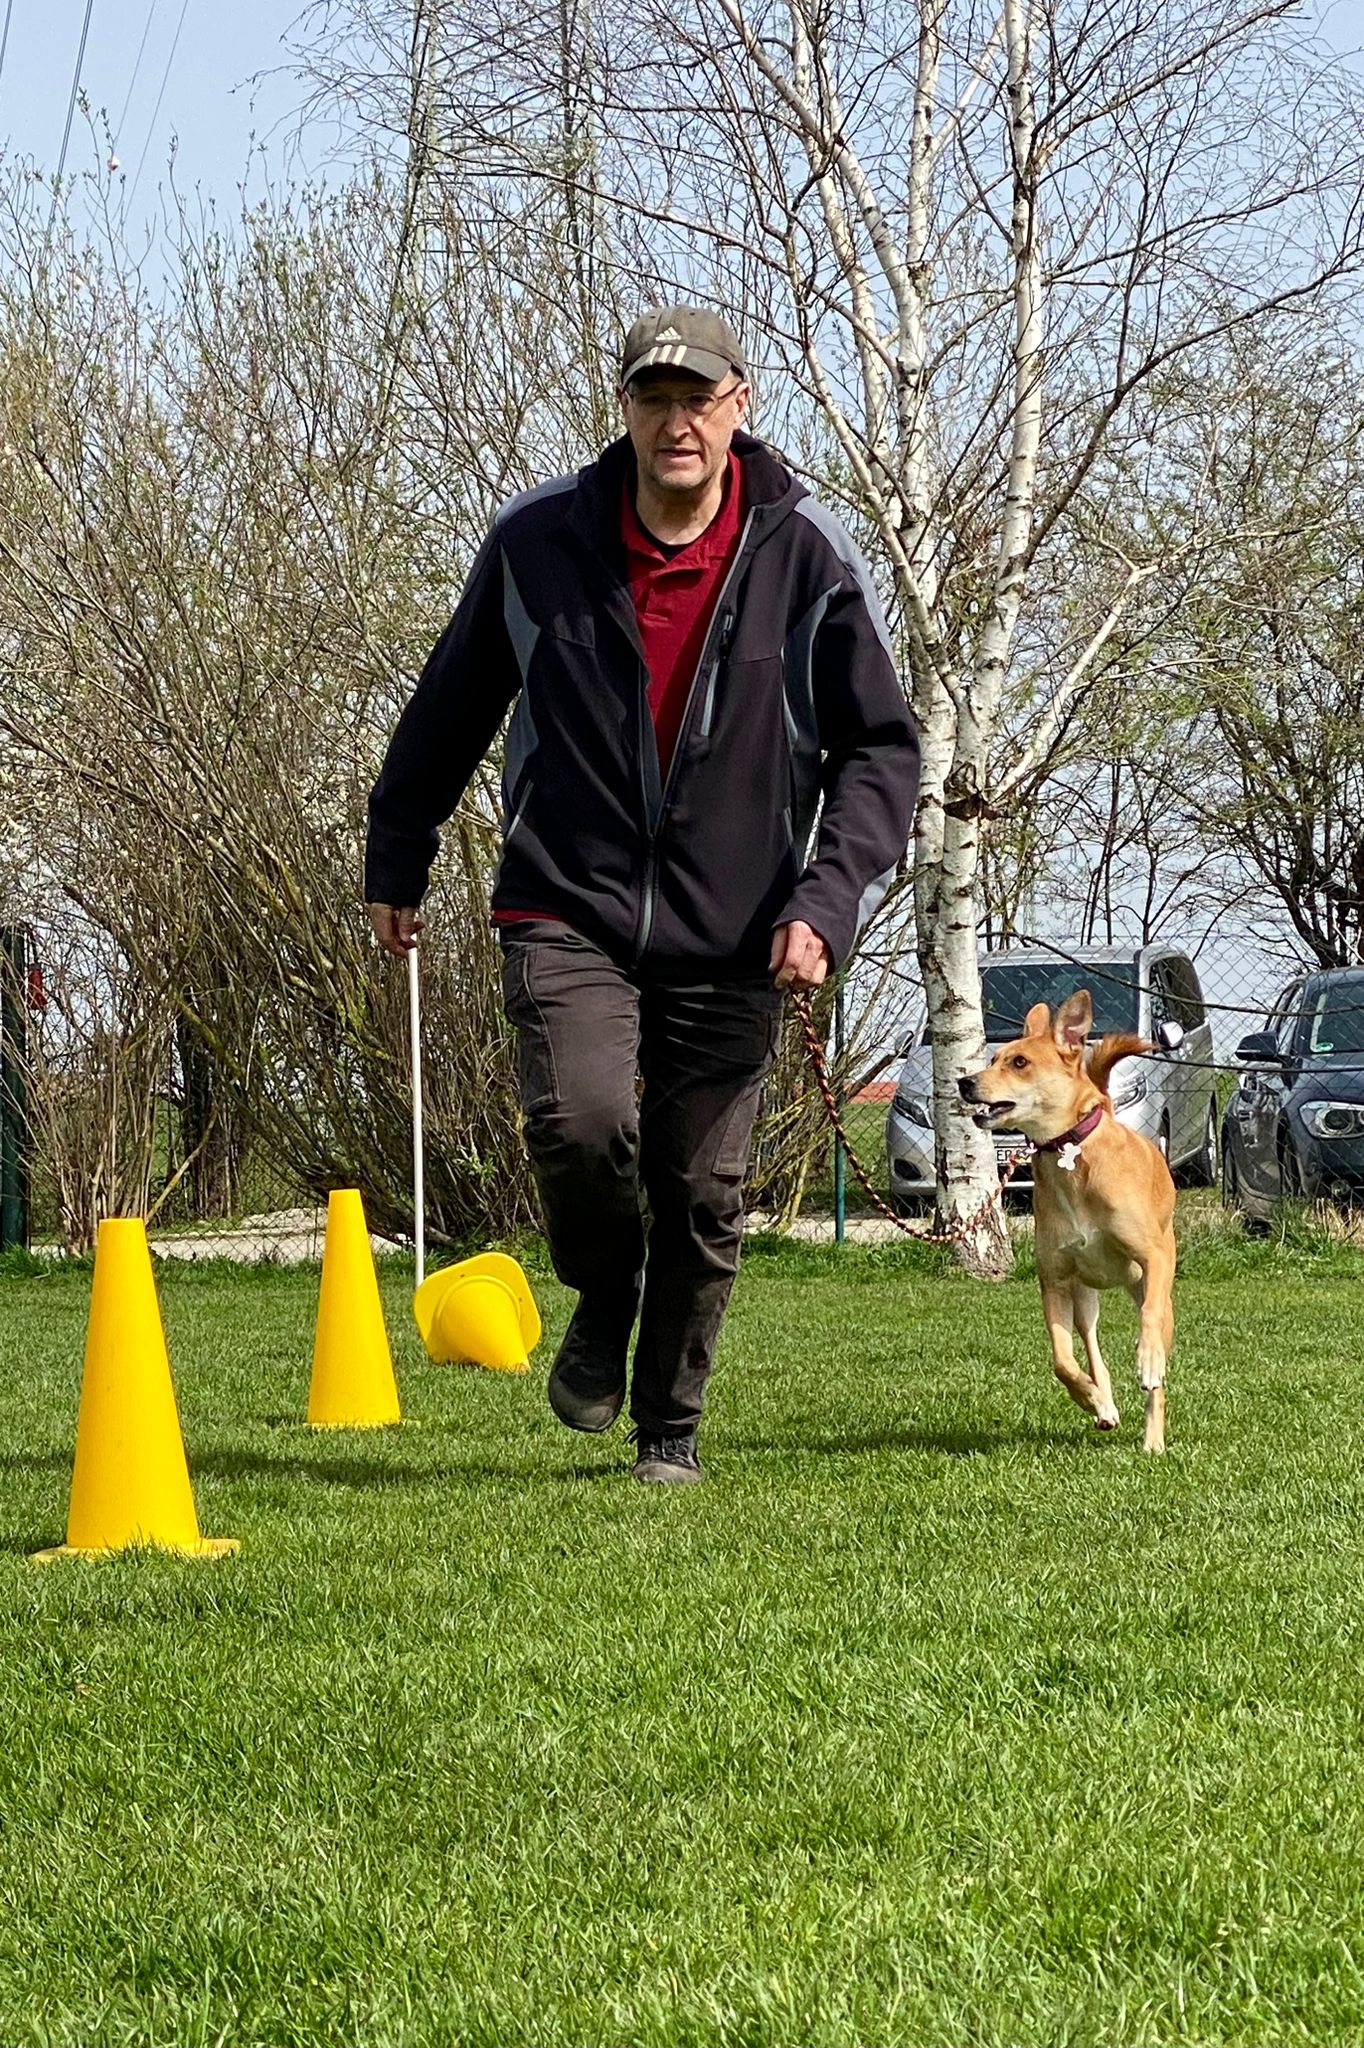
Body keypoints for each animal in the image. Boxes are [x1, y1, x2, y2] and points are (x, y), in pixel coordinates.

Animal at [958, 989, 1176, 1453]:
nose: (964, 1082)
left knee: (1156, 1336)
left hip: (1154, 1287)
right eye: (994, 1057)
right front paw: (1091, 1398)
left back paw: (1152, 1435)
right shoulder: (1054, 1280)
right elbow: (1061, 1359)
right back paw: (1104, 1403)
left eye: (1019, 1062)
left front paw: (1146, 1361)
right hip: (1083, 1294)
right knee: (1090, 1343)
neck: (1070, 1155)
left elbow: (1148, 1324)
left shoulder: (1153, 1259)